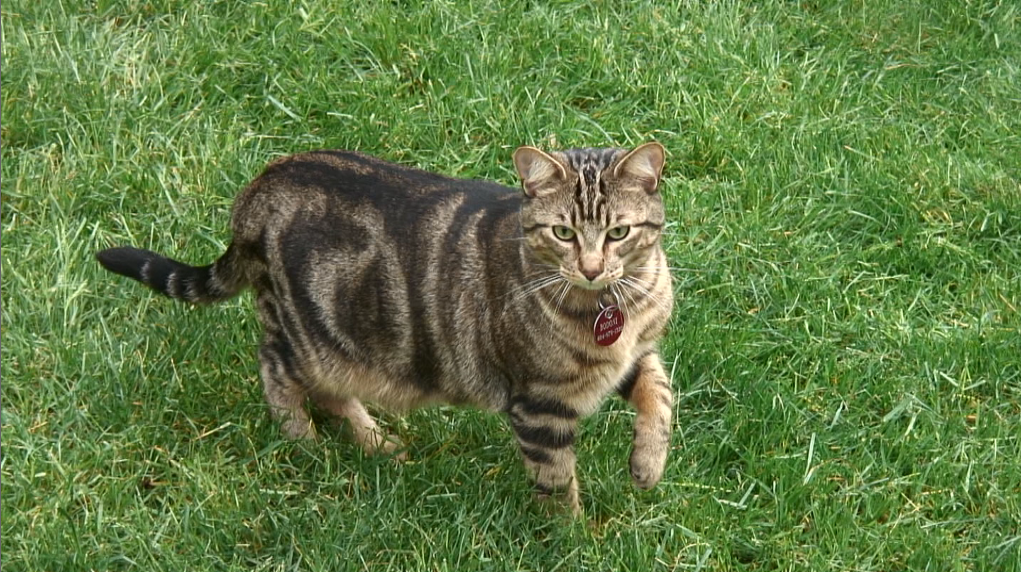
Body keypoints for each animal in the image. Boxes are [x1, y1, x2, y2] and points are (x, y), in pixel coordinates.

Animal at [95, 141, 673, 514]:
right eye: (563, 233)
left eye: (618, 233)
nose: (592, 268)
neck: (614, 307)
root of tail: (258, 189)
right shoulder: (538, 404)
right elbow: (557, 484)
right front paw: (573, 538)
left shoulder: (634, 355)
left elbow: (661, 396)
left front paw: (647, 466)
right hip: (312, 334)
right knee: (277, 369)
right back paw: (307, 440)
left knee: (324, 389)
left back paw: (376, 443)